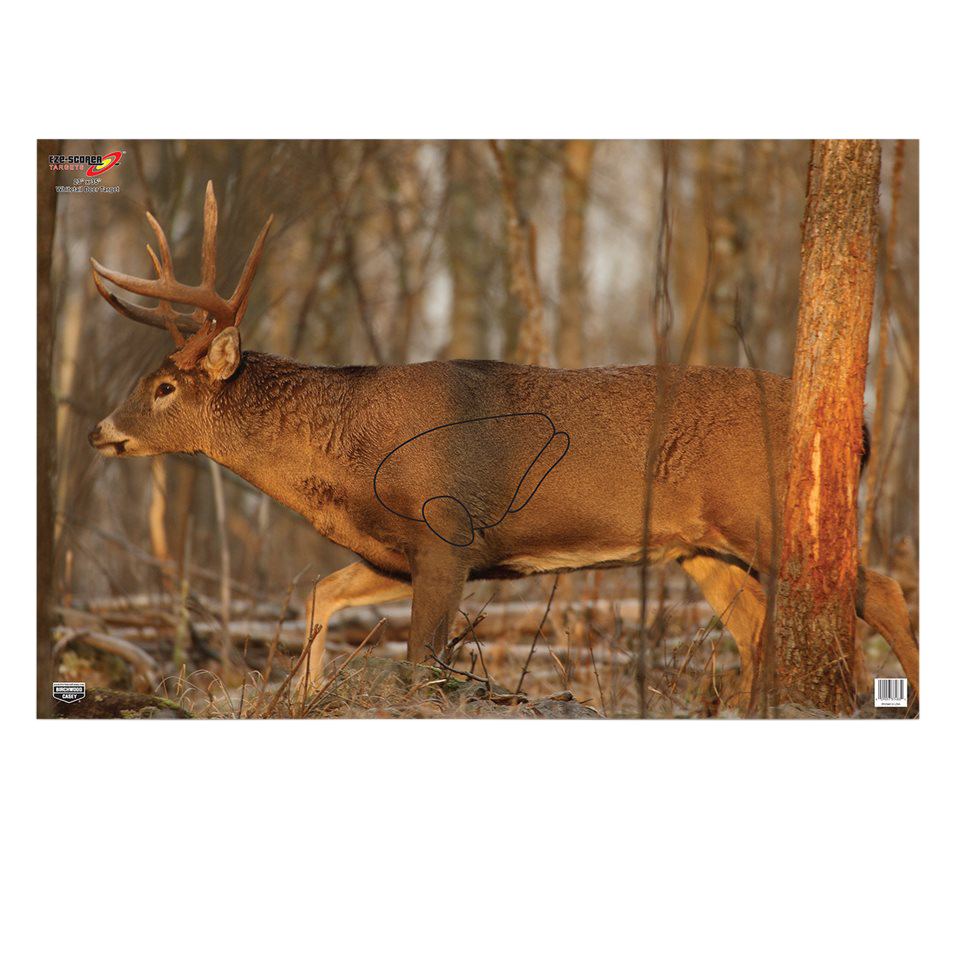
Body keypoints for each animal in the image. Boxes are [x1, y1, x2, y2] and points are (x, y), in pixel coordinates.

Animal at [87, 182, 920, 709]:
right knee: (755, 629)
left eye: (165, 386)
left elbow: (422, 662)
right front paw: (308, 694)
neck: (347, 459)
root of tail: (860, 426)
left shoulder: (448, 533)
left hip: (766, 515)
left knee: (880, 590)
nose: (99, 430)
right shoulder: (398, 552)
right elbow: (321, 595)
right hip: (699, 547)